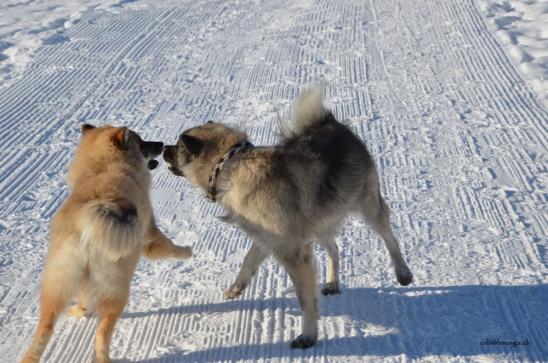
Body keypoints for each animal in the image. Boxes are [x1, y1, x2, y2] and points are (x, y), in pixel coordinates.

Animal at [21, 125, 192, 363]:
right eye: (142, 143)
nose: (161, 144)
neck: (104, 167)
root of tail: (89, 218)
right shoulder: (149, 235)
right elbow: (169, 247)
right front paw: (187, 251)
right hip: (116, 288)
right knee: (102, 333)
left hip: (59, 283)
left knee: (47, 326)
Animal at [163, 85, 412, 350]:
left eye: (177, 146)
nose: (163, 148)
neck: (228, 164)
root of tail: (331, 123)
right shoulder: (267, 240)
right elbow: (248, 262)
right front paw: (236, 288)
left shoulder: (292, 253)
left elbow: (305, 300)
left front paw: (309, 335)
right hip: (322, 218)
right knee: (334, 248)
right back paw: (333, 282)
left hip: (367, 205)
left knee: (388, 236)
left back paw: (403, 272)